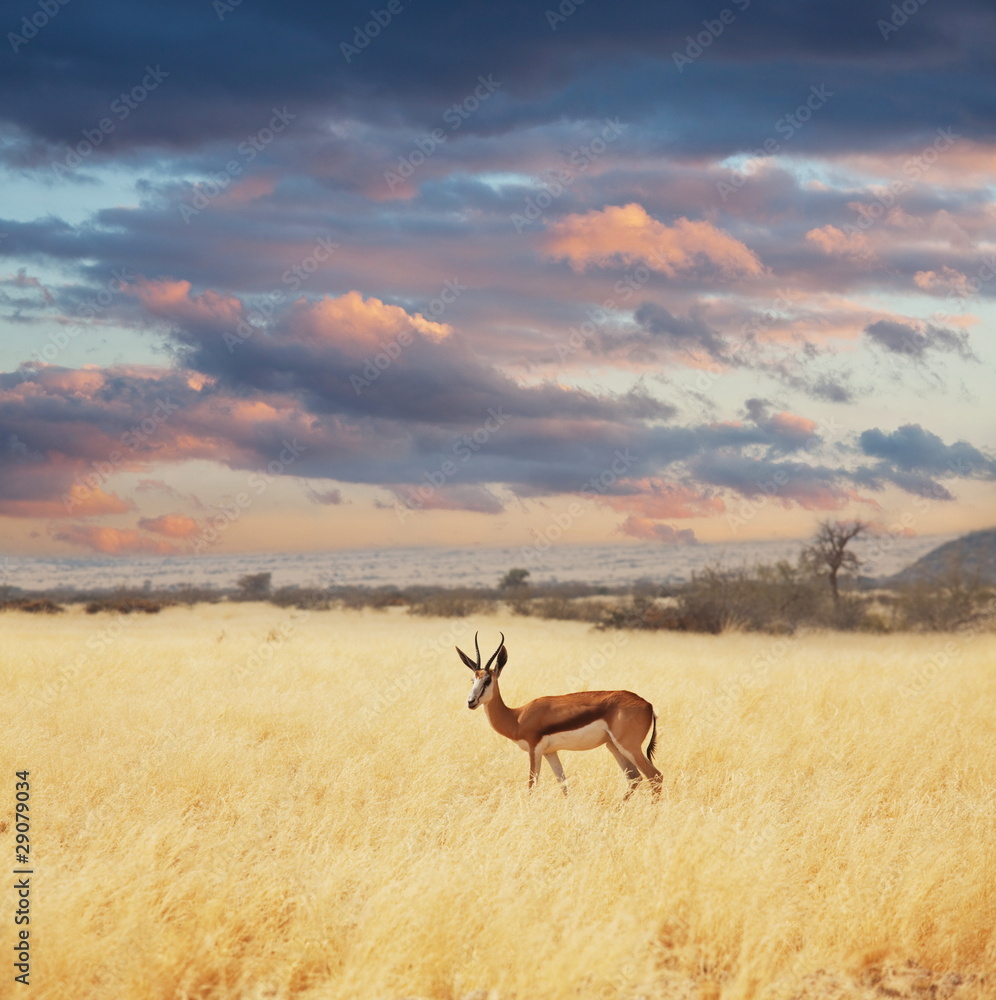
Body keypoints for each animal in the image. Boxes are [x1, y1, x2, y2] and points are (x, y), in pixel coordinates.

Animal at [457, 632, 662, 798]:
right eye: (472, 679)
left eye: (488, 680)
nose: (471, 702)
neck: (517, 717)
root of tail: (648, 705)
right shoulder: (551, 752)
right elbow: (563, 785)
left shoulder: (534, 750)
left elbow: (531, 786)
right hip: (613, 746)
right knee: (634, 778)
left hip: (629, 747)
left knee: (655, 776)